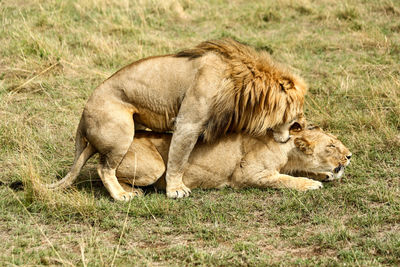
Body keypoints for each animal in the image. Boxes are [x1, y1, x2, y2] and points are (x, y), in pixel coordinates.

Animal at [49, 38, 306, 201]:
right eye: (296, 117)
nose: (302, 126)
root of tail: (84, 112)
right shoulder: (188, 123)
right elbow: (178, 159)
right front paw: (176, 190)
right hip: (121, 132)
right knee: (104, 168)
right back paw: (121, 195)